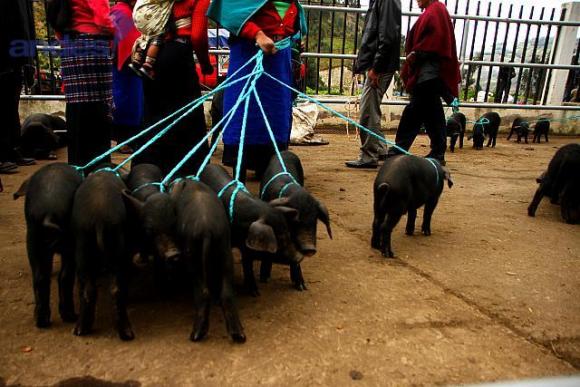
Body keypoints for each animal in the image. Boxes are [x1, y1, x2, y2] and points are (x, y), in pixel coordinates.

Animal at [14, 163, 83, 328]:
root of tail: (48, 214)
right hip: (63, 244)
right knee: (60, 277)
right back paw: (66, 317)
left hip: (33, 239)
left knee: (43, 277)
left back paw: (45, 320)